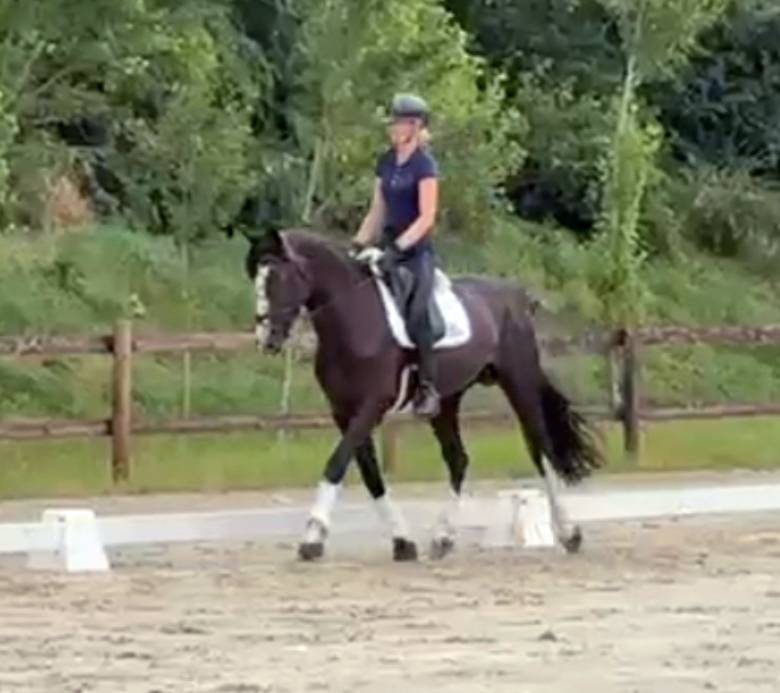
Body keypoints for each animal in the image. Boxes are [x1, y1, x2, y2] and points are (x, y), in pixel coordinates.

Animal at [244, 228, 603, 561]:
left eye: (277, 277)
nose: (266, 339)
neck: (354, 317)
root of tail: (516, 295)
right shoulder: (344, 411)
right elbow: (371, 475)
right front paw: (403, 542)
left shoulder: (371, 405)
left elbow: (336, 464)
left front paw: (312, 536)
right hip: (446, 401)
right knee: (458, 459)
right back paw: (442, 537)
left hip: (519, 382)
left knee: (541, 449)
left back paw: (569, 533)